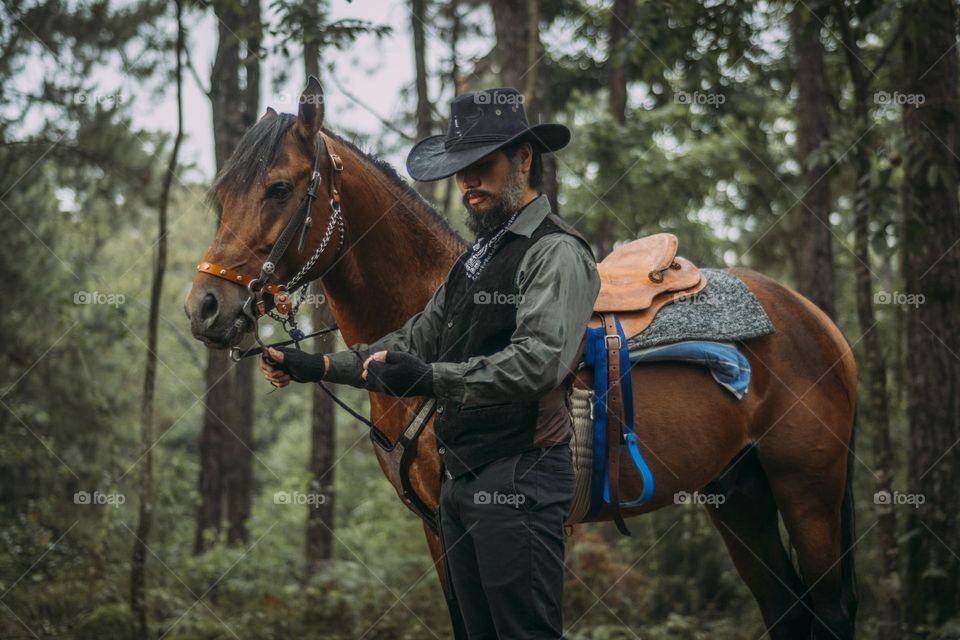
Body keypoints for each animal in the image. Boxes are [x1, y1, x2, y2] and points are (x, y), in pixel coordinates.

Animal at [184, 78, 859, 640]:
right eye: (223, 195)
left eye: (278, 188)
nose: (205, 308)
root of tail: (817, 320)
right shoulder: (439, 529)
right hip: (738, 496)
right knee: (785, 611)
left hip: (808, 493)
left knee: (828, 610)